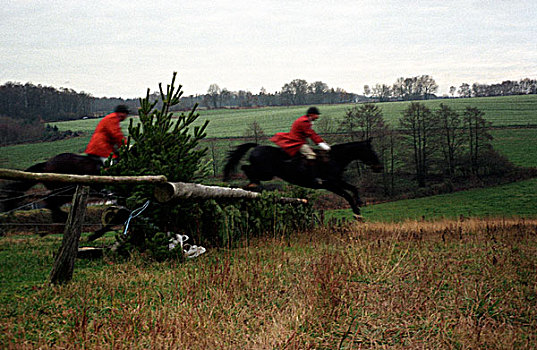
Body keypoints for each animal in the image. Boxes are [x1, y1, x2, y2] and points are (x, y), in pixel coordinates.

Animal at [224, 139, 384, 216]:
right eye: (371, 151)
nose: (379, 167)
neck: (334, 158)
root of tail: (257, 146)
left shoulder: (337, 181)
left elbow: (353, 188)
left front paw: (359, 203)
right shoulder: (329, 184)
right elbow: (346, 195)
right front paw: (356, 212)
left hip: (265, 173)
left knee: (247, 168)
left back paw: (251, 184)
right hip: (266, 173)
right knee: (246, 168)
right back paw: (252, 184)